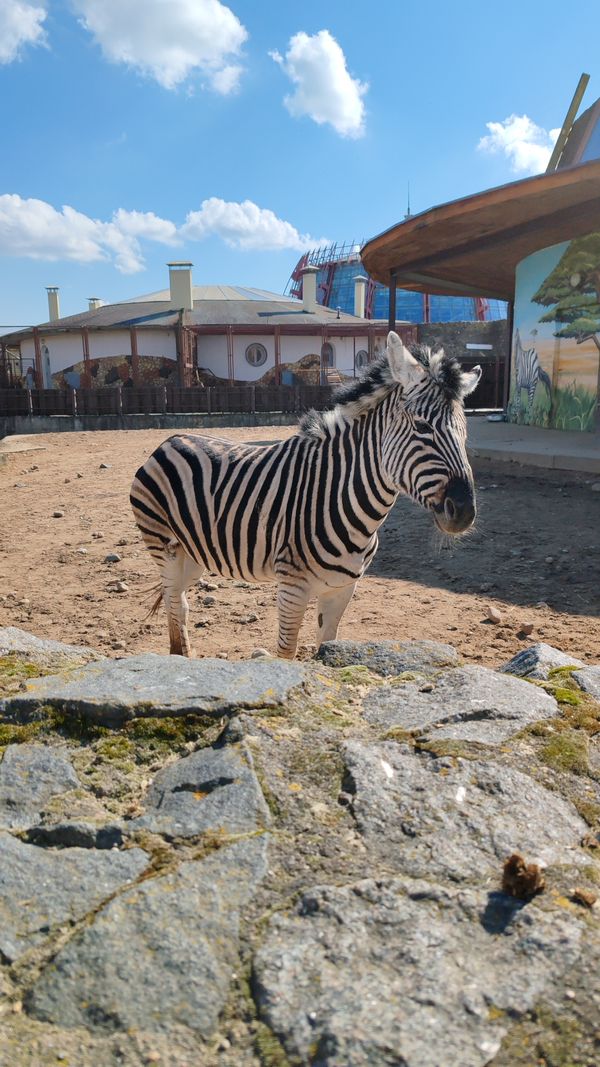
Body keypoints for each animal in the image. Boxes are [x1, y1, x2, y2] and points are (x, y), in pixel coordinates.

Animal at [130, 330, 480, 657]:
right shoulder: (292, 586)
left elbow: (329, 643)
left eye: (465, 432)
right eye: (423, 428)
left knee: (181, 601)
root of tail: (172, 438)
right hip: (165, 547)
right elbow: (287, 652)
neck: (343, 498)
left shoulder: (343, 588)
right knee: (173, 601)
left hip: (194, 553)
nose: (464, 511)